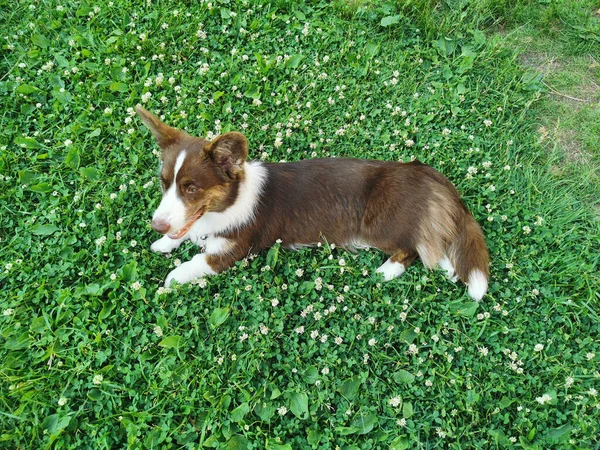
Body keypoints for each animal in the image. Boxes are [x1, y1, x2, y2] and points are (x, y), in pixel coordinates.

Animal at [138, 107, 490, 300]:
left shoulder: (230, 253)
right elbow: (182, 231)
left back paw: (385, 272)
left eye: (192, 188)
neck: (227, 204)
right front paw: (163, 243)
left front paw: (172, 277)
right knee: (436, 247)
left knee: (412, 249)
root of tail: (425, 172)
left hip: (380, 225)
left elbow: (194, 263)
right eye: (164, 183)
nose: (155, 225)